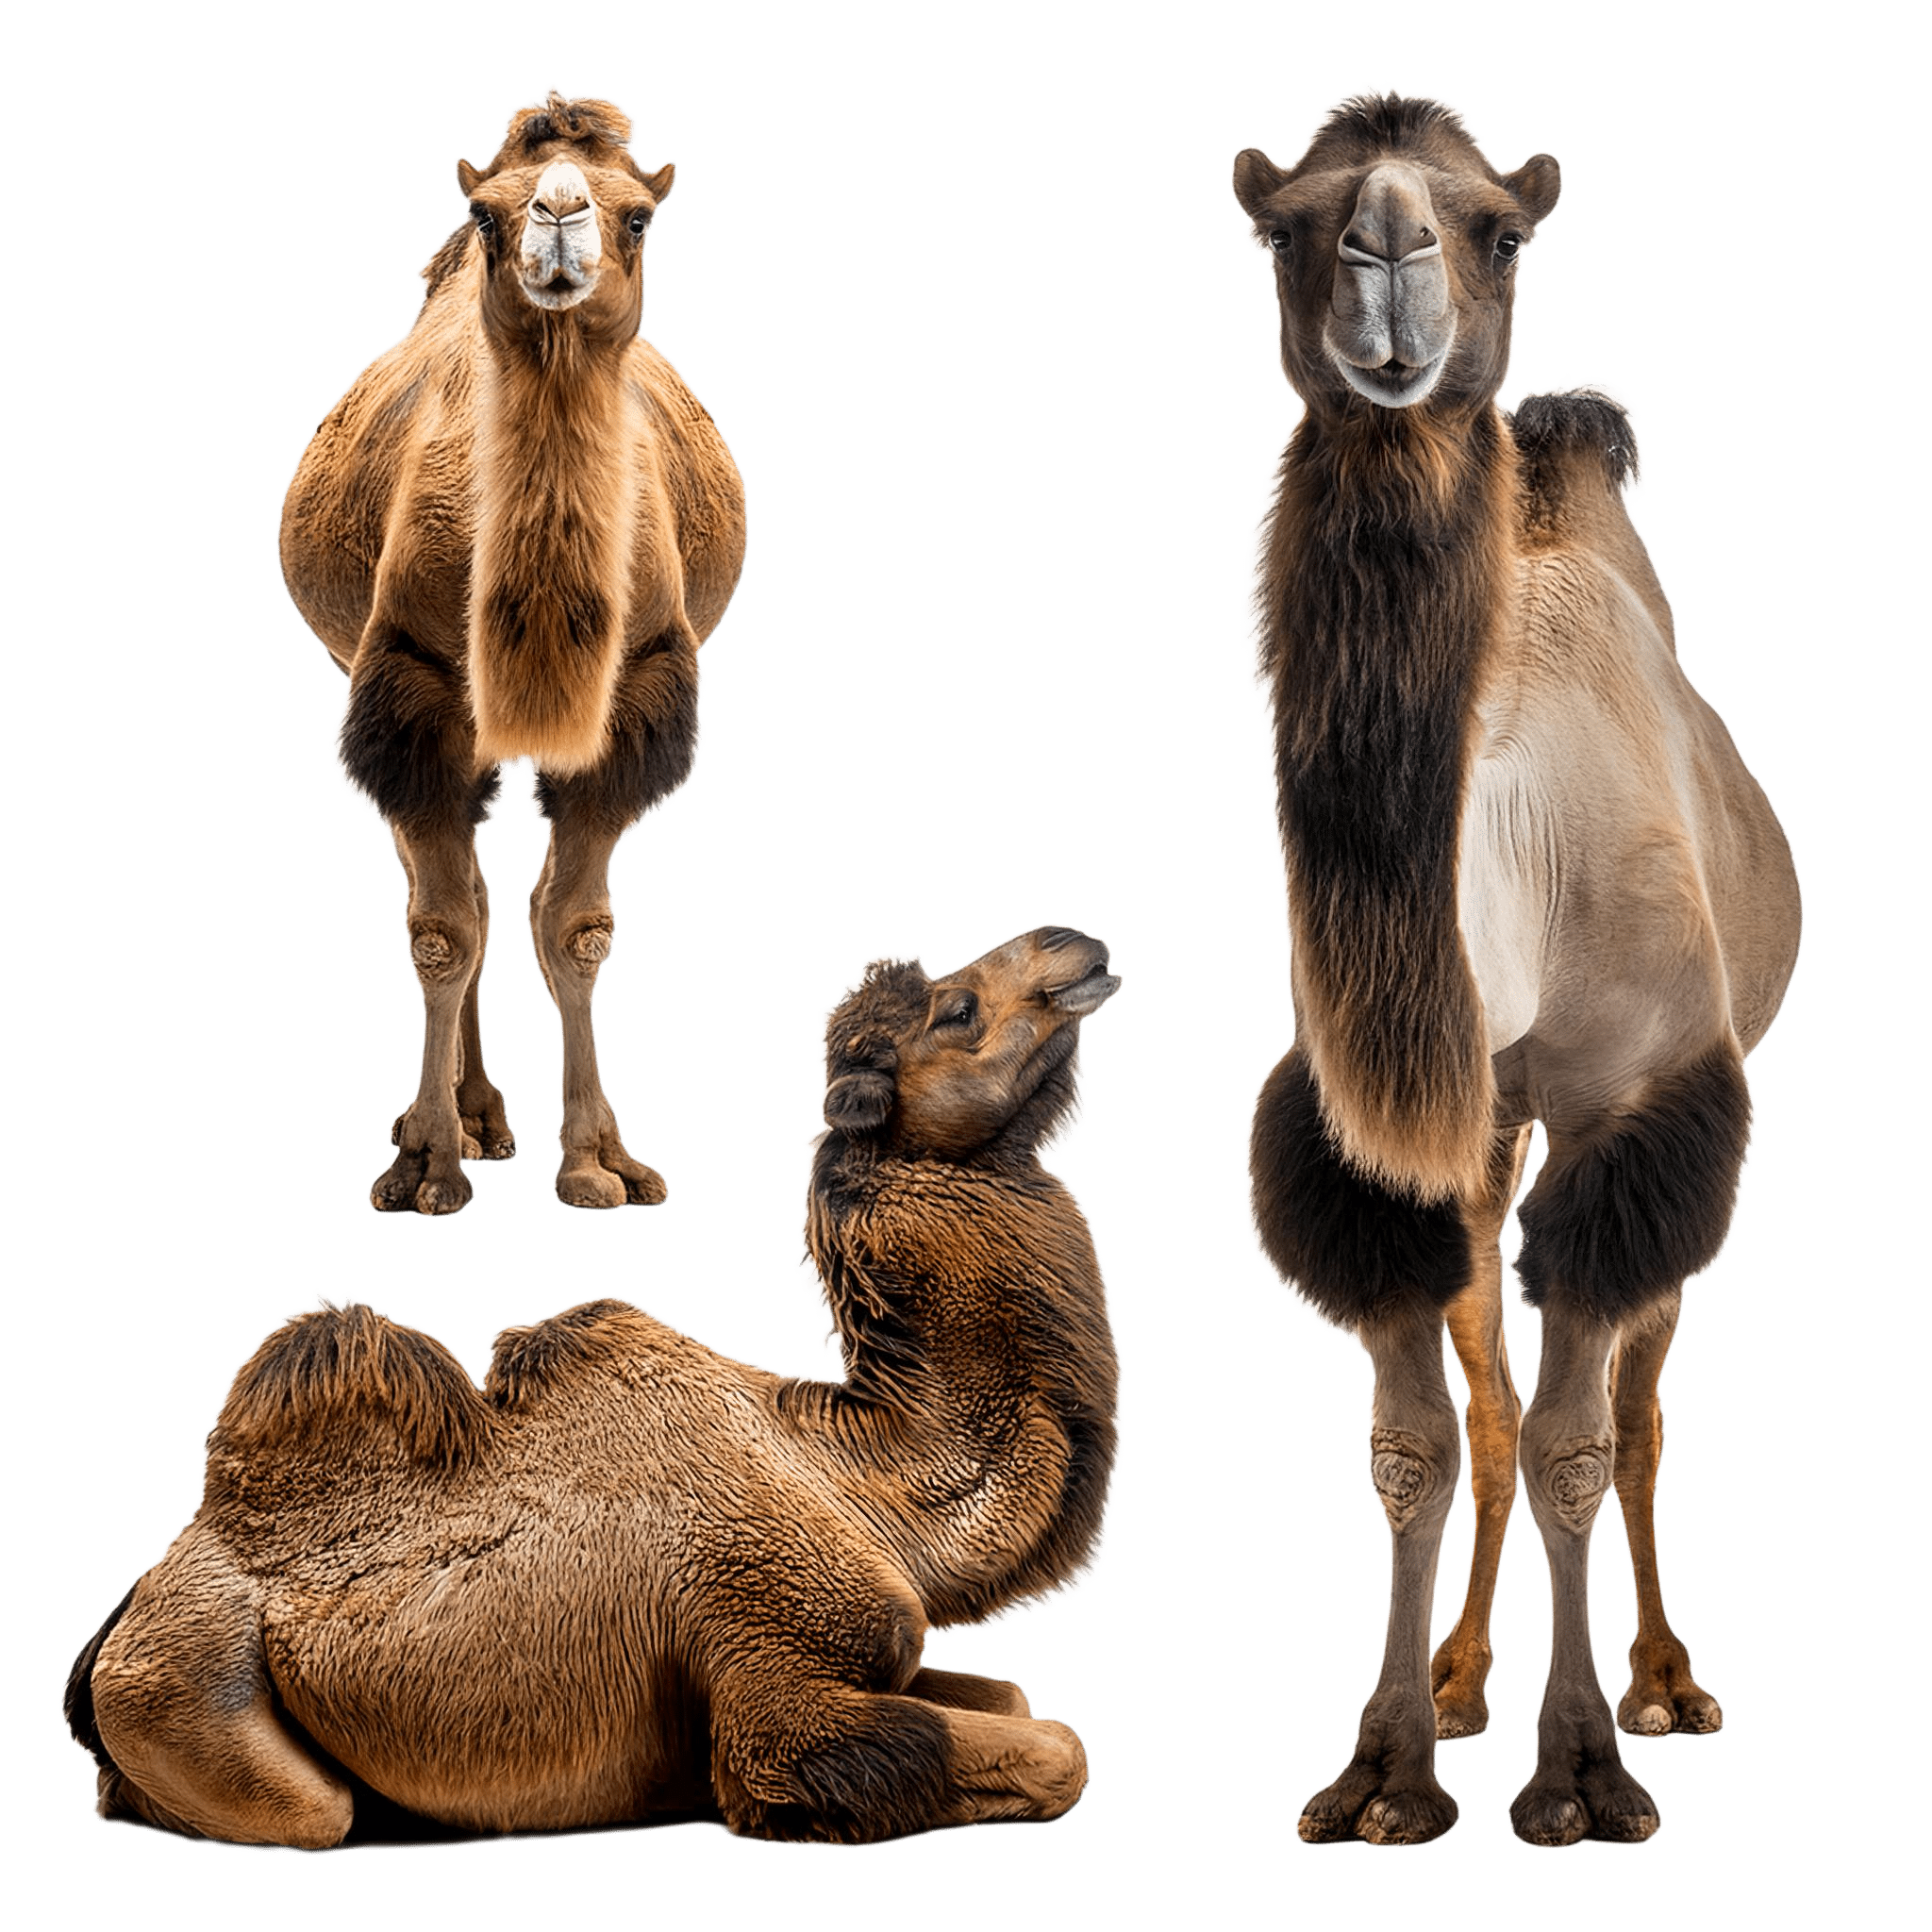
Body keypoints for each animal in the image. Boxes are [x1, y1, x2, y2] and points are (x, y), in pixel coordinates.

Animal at [64, 929, 1122, 1848]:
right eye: (956, 1008)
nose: (1077, 942)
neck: (853, 1477)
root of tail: (122, 1616)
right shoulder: (775, 1672)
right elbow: (1058, 1749)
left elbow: (1017, 1699)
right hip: (191, 1688)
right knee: (311, 1811)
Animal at [279, 90, 745, 1215]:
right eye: (484, 216)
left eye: (640, 217)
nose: (559, 213)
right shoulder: (409, 688)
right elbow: (443, 932)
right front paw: (425, 1165)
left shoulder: (637, 693)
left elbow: (572, 926)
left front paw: (600, 1162)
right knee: (453, 901)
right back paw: (466, 1118)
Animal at [1233, 93, 1799, 1846]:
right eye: (1285, 224)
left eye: (1499, 227)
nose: (1385, 253)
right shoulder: (1379, 1141)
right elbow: (1418, 1444)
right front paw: (1384, 1768)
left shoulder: (1647, 1115)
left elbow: (1577, 1445)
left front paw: (1584, 1775)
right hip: (1488, 1132)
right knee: (1492, 1405)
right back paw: (1467, 1679)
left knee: (1640, 1412)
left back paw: (1666, 1682)